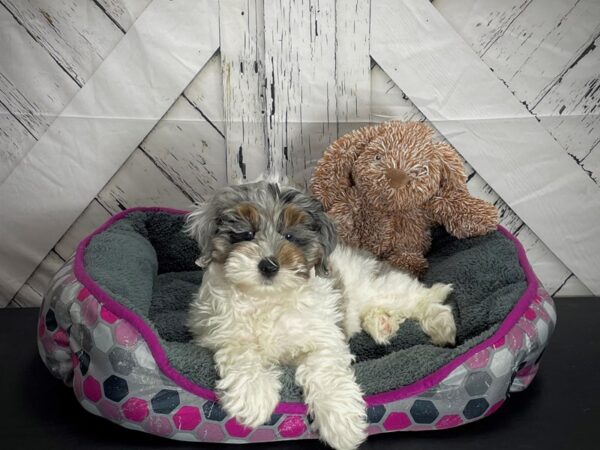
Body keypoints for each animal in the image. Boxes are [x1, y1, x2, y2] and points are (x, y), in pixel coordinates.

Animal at [185, 180, 452, 450]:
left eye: (290, 236)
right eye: (246, 234)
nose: (268, 265)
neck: (268, 299)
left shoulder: (324, 337)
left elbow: (325, 371)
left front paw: (341, 425)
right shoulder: (218, 330)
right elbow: (241, 353)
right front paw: (253, 395)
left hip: (382, 288)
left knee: (420, 298)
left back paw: (442, 325)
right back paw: (382, 325)